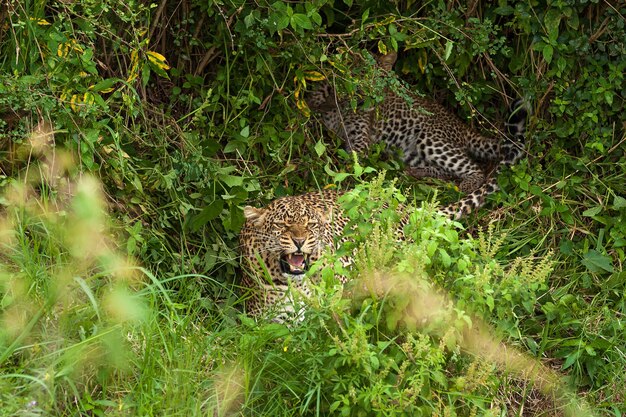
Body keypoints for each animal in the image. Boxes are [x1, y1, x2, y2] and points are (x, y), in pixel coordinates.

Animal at [304, 51, 528, 218]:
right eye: (360, 77)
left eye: (379, 80)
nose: (368, 99)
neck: (343, 105)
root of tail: (464, 128)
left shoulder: (361, 139)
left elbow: (352, 164)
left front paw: (338, 181)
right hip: (405, 148)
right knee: (445, 171)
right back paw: (415, 173)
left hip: (429, 139)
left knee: (475, 169)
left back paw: (461, 189)